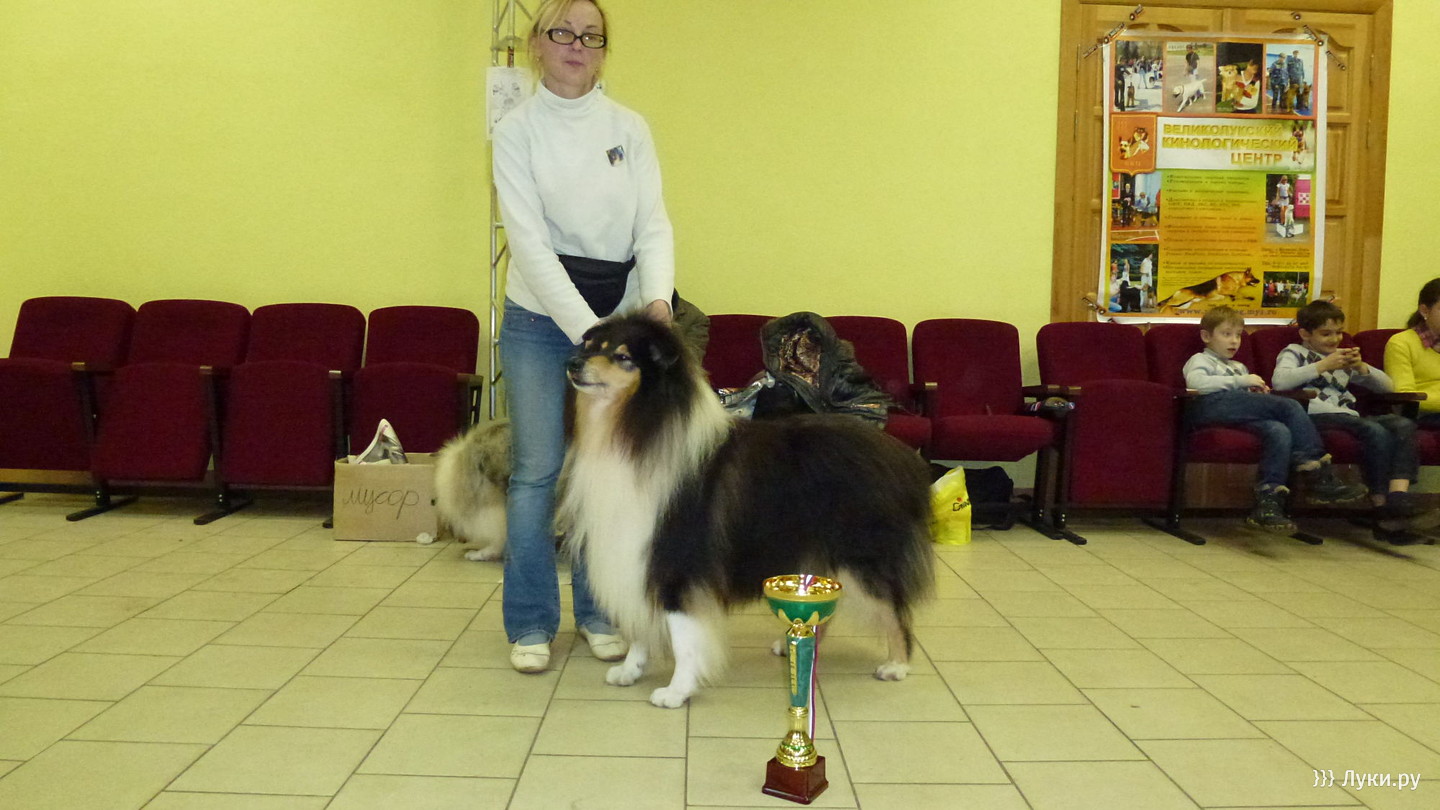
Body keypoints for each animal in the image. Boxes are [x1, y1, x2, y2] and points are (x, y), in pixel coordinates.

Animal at [559, 315, 934, 708]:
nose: (573, 364)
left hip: (860, 555)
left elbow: (682, 634)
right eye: (591, 346)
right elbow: (641, 628)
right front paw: (630, 670)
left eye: (622, 357)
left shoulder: (675, 560)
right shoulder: (634, 555)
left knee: (893, 607)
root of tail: (901, 457)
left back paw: (896, 665)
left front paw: (676, 691)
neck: (638, 431)